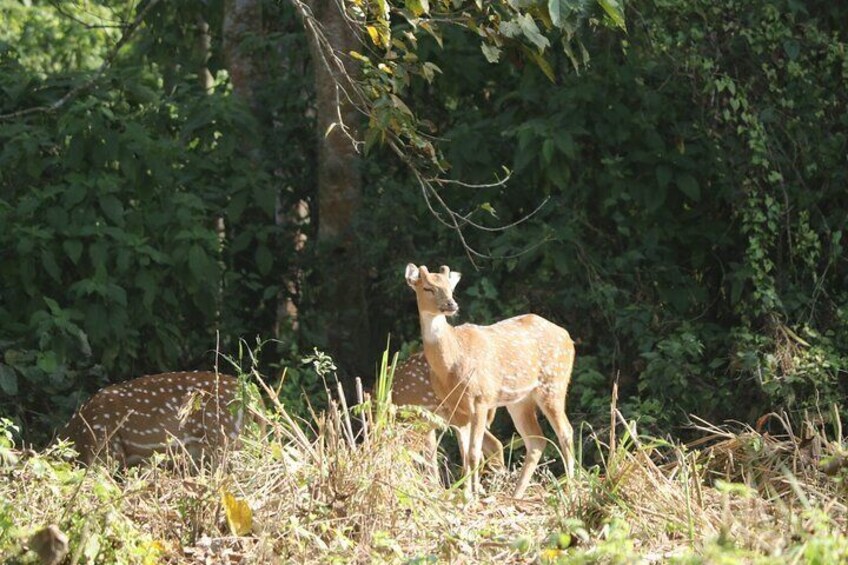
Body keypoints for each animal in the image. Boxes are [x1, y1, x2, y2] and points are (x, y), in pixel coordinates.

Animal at [404, 262, 576, 496]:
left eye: (450, 287)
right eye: (428, 288)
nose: (451, 304)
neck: (451, 364)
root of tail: (569, 338)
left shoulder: (481, 398)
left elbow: (473, 453)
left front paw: (474, 495)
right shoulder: (456, 407)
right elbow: (465, 453)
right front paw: (467, 493)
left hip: (553, 383)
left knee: (566, 432)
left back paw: (572, 491)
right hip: (519, 401)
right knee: (536, 440)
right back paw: (516, 494)